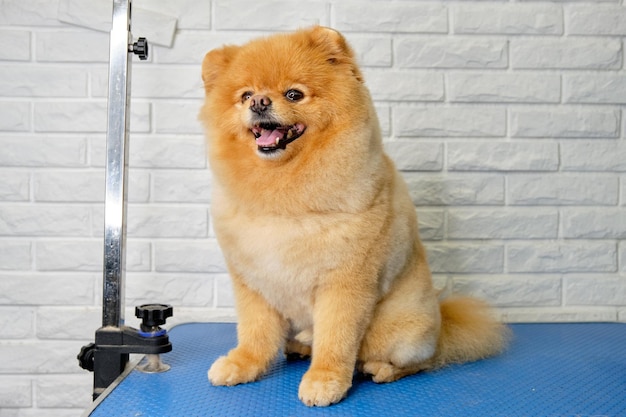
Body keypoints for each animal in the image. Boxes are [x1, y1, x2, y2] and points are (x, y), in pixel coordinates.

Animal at [200, 26, 508, 406]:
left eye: (294, 94)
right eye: (244, 96)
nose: (258, 102)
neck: (283, 189)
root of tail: (441, 322)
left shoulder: (345, 283)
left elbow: (336, 339)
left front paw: (324, 380)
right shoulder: (253, 281)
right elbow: (255, 332)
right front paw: (243, 364)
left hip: (401, 333)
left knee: (423, 360)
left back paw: (382, 369)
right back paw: (301, 345)